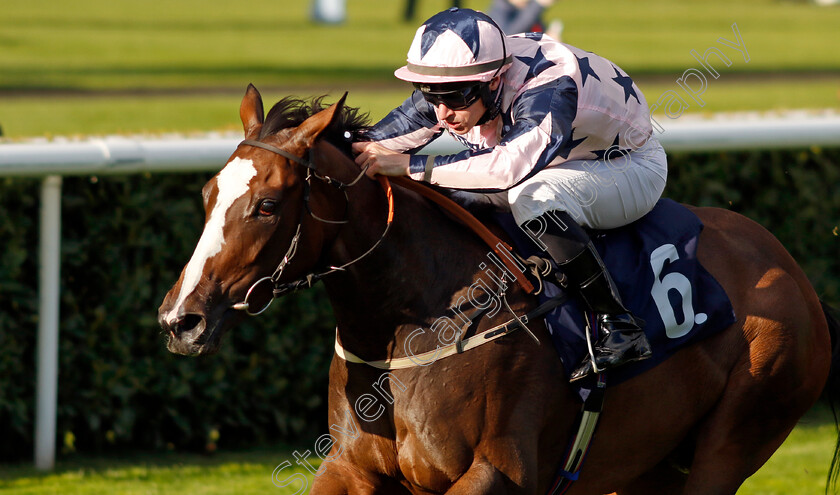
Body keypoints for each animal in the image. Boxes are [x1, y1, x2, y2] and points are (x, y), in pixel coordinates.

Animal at [158, 83, 840, 494]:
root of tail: (792, 272)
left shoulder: (495, 470)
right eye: (208, 193)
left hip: (735, 435)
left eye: (268, 205)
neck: (413, 326)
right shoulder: (350, 466)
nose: (181, 319)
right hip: (648, 463)